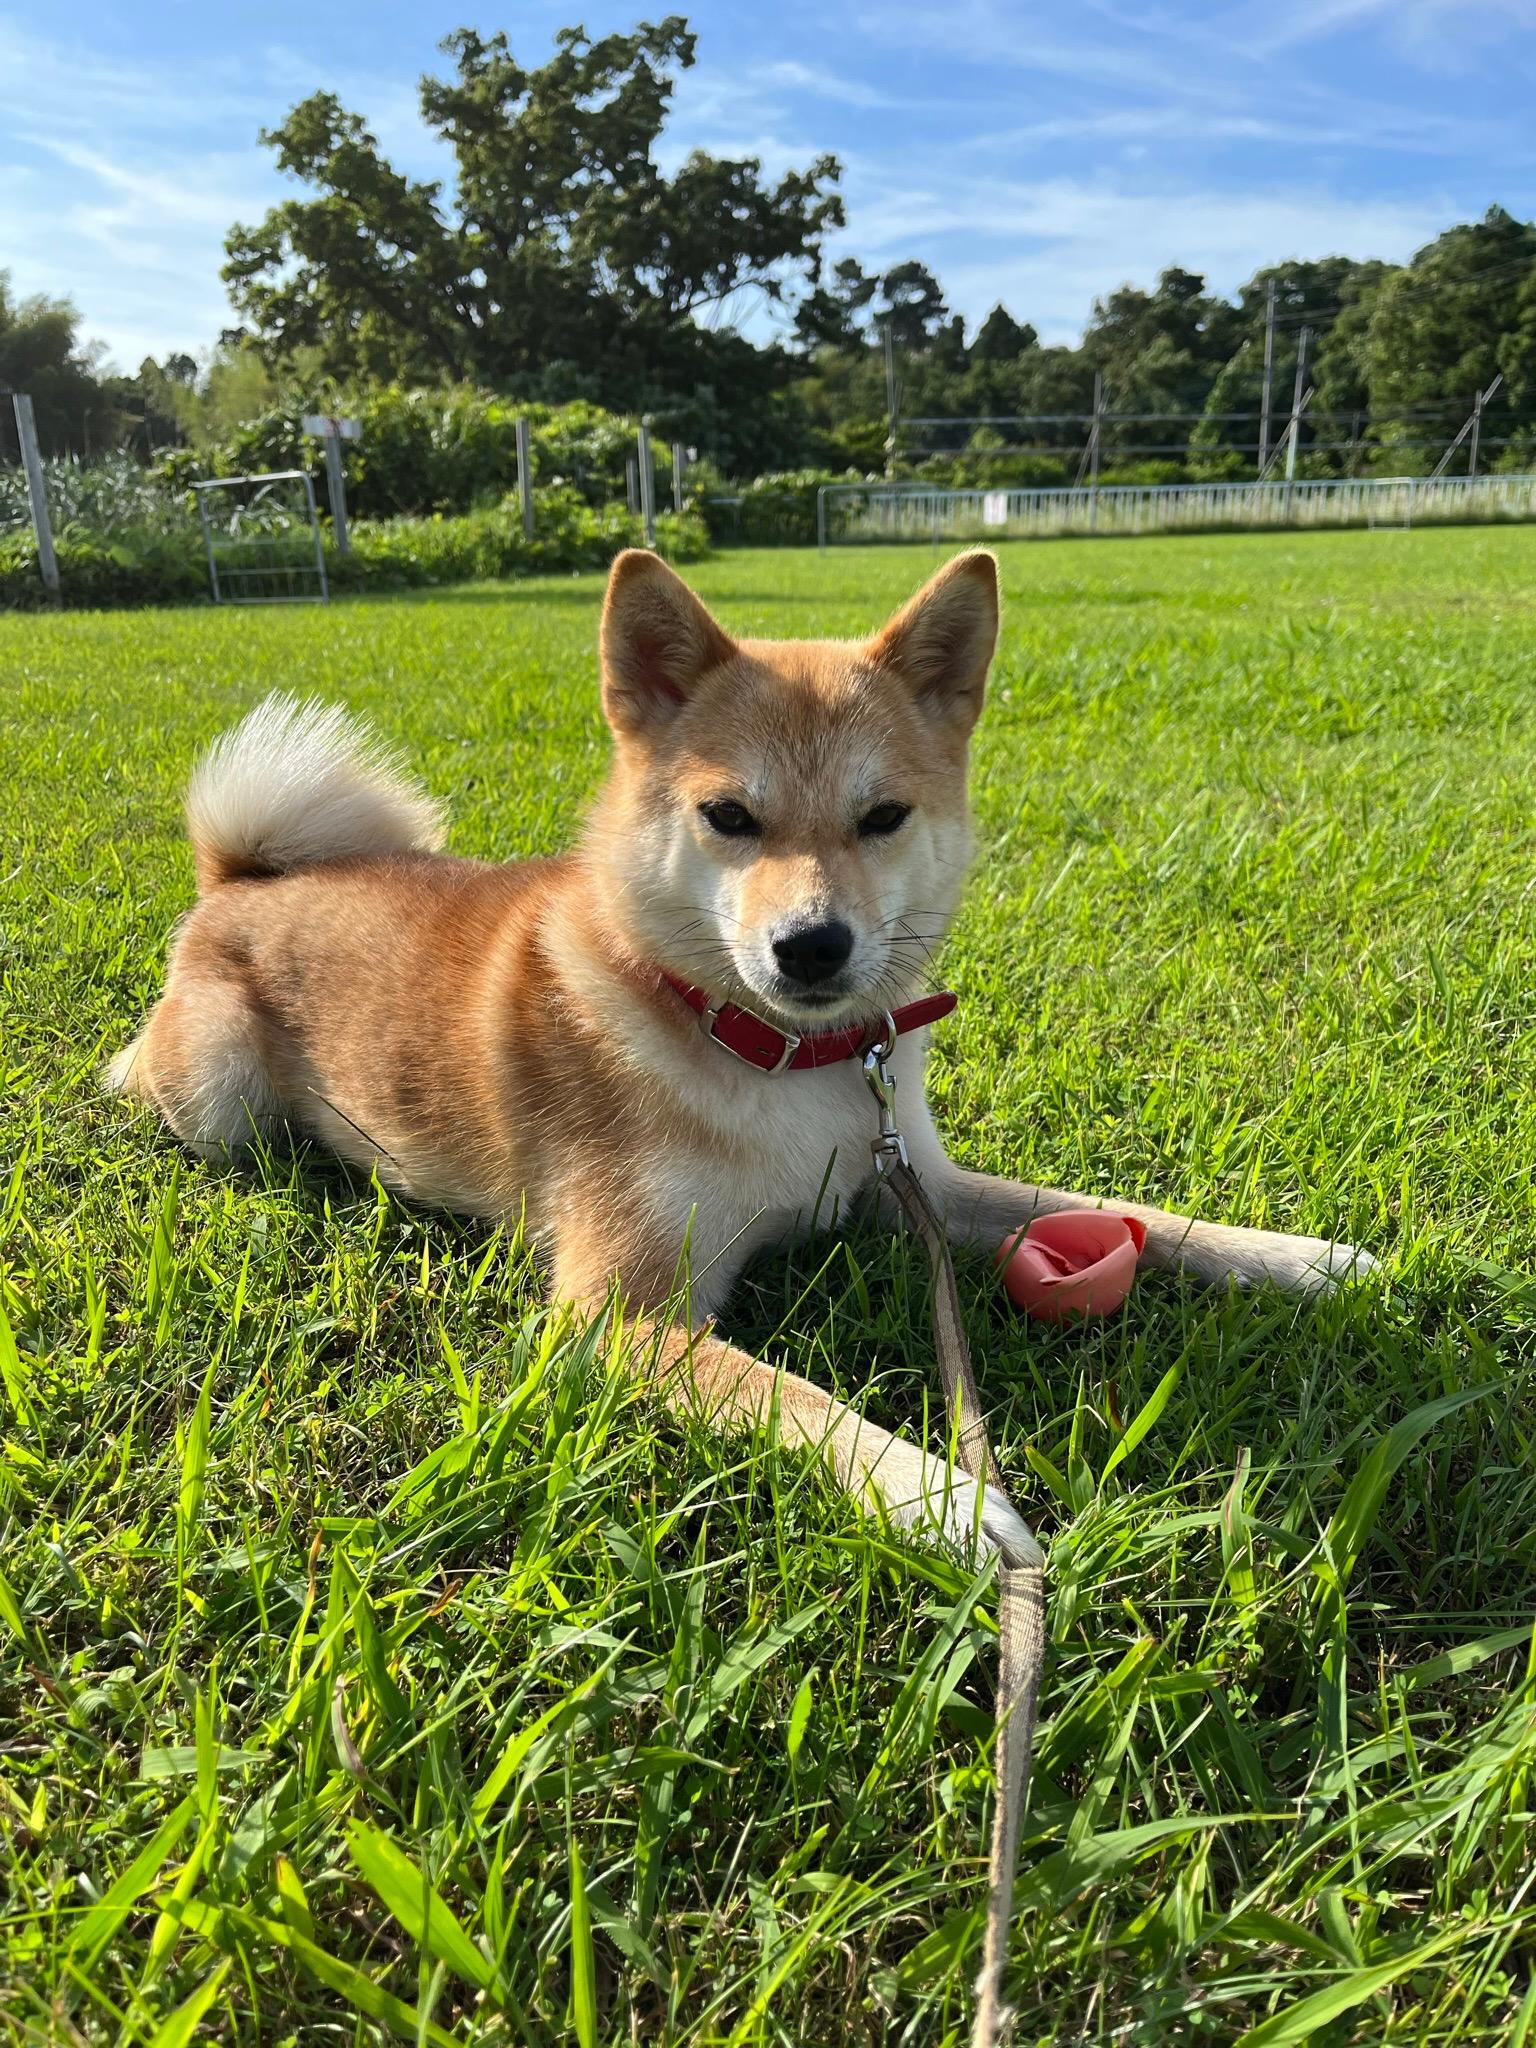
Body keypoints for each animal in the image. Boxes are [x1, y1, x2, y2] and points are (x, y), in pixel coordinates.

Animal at [111, 552, 1384, 1556]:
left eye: (882, 815)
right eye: (730, 816)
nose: (813, 943)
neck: (783, 1063)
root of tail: (243, 877)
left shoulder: (910, 1182)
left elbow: (1129, 1215)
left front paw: (1304, 1257)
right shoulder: (615, 1316)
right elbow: (798, 1398)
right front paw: (949, 1503)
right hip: (218, 1095)